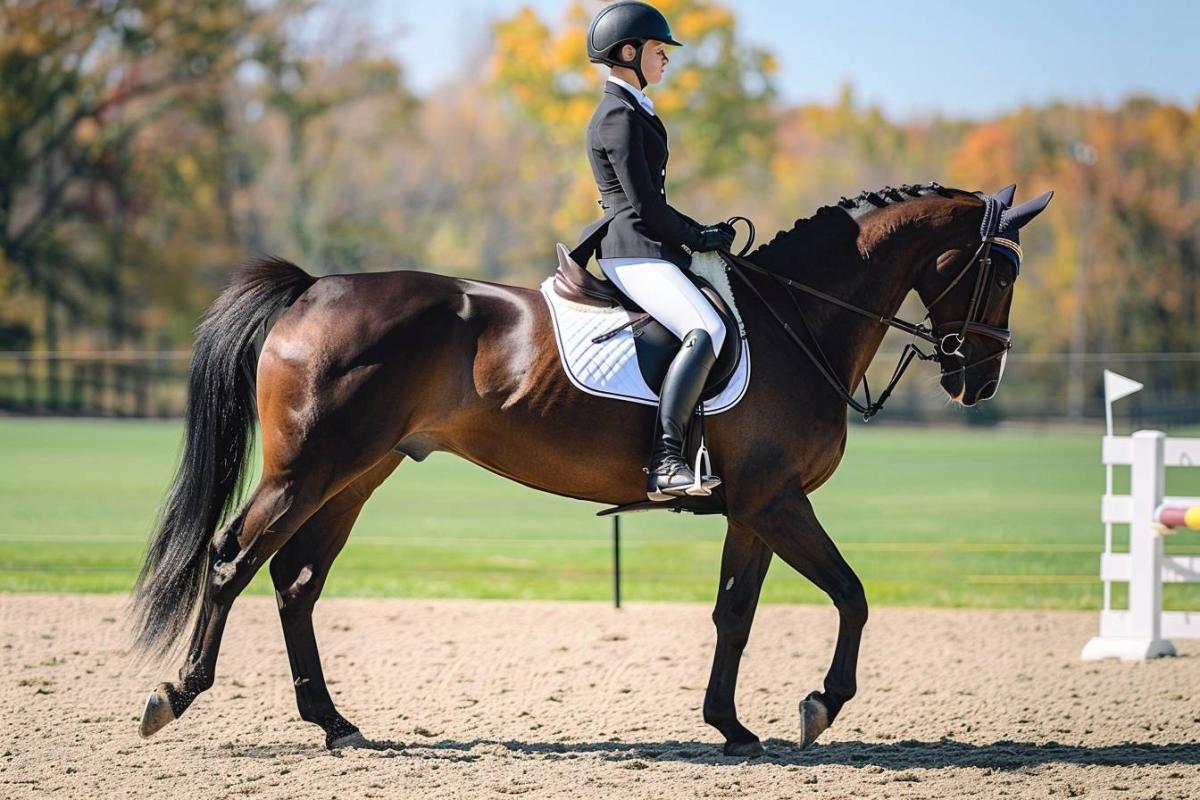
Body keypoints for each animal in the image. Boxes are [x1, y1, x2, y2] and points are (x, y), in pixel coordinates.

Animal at [130, 182, 1053, 756]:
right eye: (1000, 270)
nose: (979, 380)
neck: (799, 318)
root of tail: (315, 287)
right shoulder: (779, 501)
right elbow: (853, 595)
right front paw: (819, 706)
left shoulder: (754, 508)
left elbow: (735, 614)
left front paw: (730, 727)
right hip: (307, 472)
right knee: (232, 560)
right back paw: (176, 694)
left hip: (356, 476)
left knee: (296, 581)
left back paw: (334, 723)